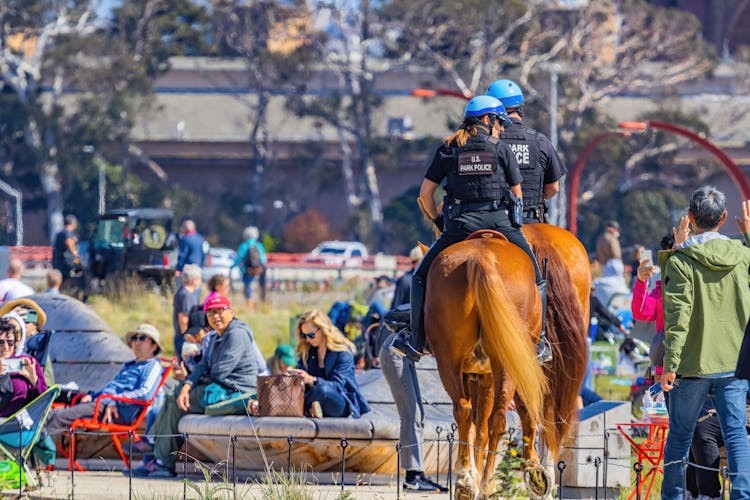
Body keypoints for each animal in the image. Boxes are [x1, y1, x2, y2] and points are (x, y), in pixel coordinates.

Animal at [424, 225, 592, 498]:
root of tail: (481, 260)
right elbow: (482, 423)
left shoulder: (480, 374)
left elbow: (478, 425)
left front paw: (476, 471)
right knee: (522, 414)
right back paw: (522, 475)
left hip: (461, 362)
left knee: (475, 412)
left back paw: (475, 480)